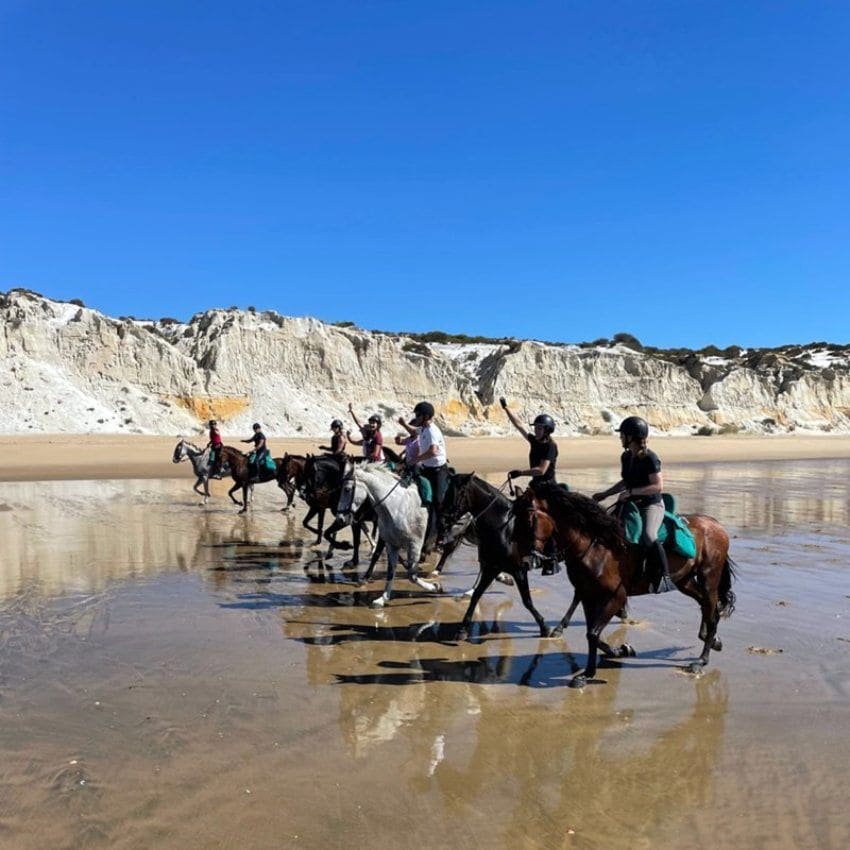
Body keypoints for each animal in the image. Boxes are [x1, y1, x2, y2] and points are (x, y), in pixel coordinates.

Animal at [350, 464, 438, 604]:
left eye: (348, 489)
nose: (342, 517)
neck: (397, 506)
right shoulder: (391, 542)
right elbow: (391, 569)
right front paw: (382, 598)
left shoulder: (415, 544)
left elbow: (411, 575)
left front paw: (434, 586)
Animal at [438, 470, 548, 636]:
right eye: (447, 492)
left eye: (459, 493)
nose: (443, 521)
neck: (504, 527)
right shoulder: (492, 567)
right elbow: (477, 593)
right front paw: (463, 627)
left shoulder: (518, 570)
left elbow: (527, 600)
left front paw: (544, 626)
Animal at [510, 480, 736, 684]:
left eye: (529, 518)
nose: (521, 558)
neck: (595, 547)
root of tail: (716, 524)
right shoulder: (588, 596)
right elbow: (593, 634)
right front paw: (616, 652)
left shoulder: (616, 596)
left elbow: (593, 633)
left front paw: (591, 671)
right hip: (685, 581)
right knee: (707, 608)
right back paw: (711, 640)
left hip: (709, 578)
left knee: (712, 613)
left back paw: (701, 660)